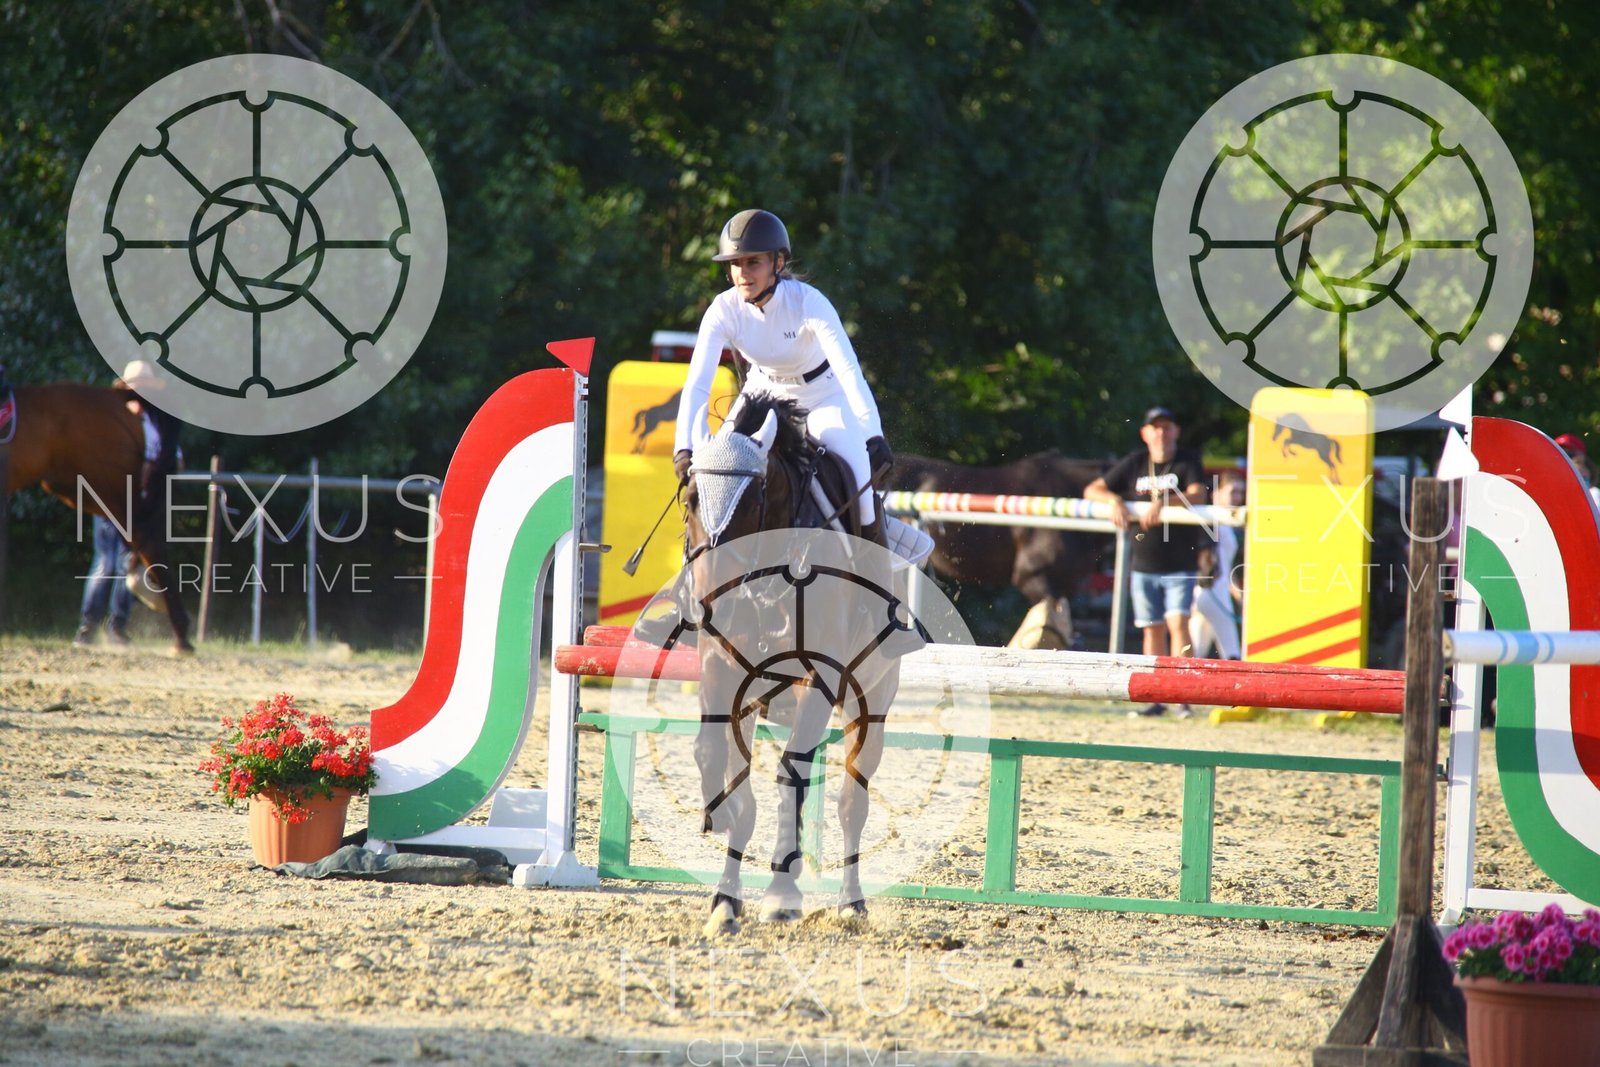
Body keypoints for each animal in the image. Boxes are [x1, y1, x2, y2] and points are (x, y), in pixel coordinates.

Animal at [681, 392, 898, 935]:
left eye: (751, 501)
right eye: (690, 498)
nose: (708, 603)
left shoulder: (816, 678)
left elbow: (790, 775)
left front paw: (782, 895)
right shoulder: (722, 669)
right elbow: (715, 761)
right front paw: (724, 895)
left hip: (871, 704)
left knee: (851, 803)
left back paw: (850, 902)